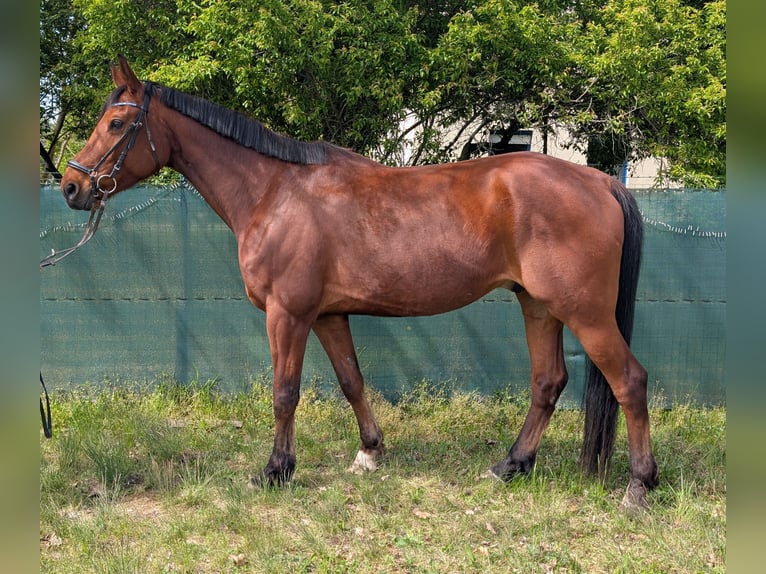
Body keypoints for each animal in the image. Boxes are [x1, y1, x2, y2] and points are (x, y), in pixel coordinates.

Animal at [60, 56, 658, 510]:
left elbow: (285, 392)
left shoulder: (288, 313)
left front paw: (276, 470)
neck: (274, 191)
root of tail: (600, 181)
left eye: (116, 125)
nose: (70, 186)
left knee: (629, 381)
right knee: (547, 383)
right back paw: (509, 465)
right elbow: (352, 381)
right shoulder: (327, 314)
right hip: (538, 306)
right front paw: (369, 452)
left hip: (584, 312)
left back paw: (638, 487)